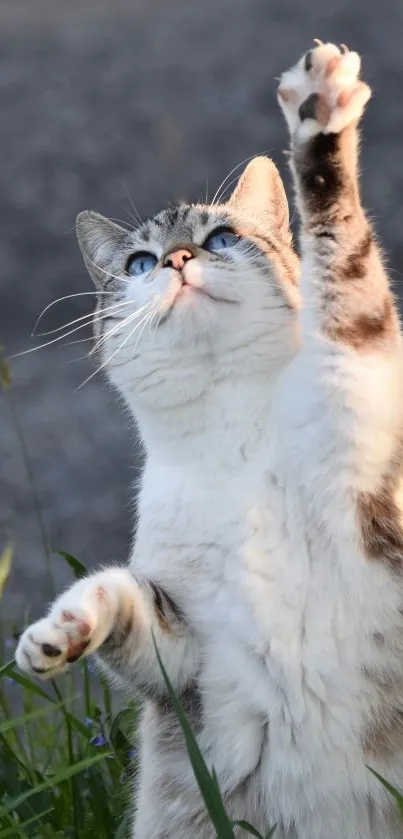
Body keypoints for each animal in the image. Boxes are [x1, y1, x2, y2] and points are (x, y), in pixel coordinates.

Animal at [15, 41, 403, 839]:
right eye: (138, 263)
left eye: (220, 238)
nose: (177, 260)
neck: (230, 434)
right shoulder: (188, 649)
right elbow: (123, 595)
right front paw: (57, 631)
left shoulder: (360, 386)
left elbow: (342, 254)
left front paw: (319, 118)